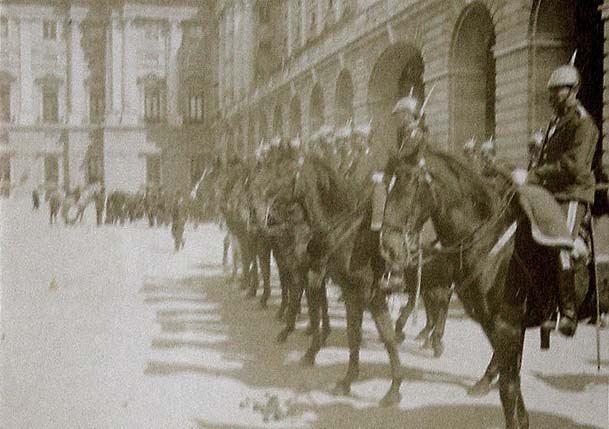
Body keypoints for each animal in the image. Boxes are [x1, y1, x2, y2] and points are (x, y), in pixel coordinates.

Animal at [378, 145, 600, 426]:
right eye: (388, 183)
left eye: (410, 183)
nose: (388, 247)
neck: (489, 244)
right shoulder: (493, 324)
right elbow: (512, 379)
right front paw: (521, 419)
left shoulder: (508, 326)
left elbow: (508, 386)